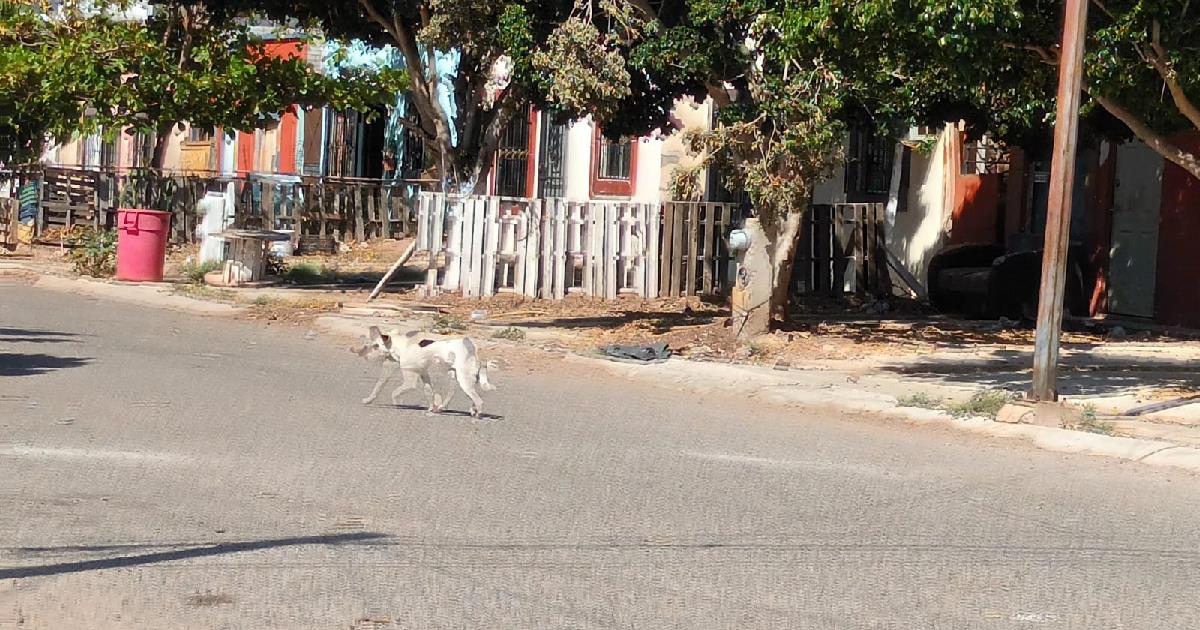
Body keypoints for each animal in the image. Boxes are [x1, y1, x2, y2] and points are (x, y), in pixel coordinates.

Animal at [350, 324, 496, 417]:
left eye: (376, 345)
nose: (363, 354)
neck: (401, 346)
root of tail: (472, 350)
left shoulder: (410, 381)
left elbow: (394, 393)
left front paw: (397, 403)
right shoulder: (424, 375)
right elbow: (428, 392)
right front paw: (431, 408)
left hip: (463, 381)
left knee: (478, 401)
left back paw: (476, 415)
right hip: (459, 379)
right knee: (469, 397)